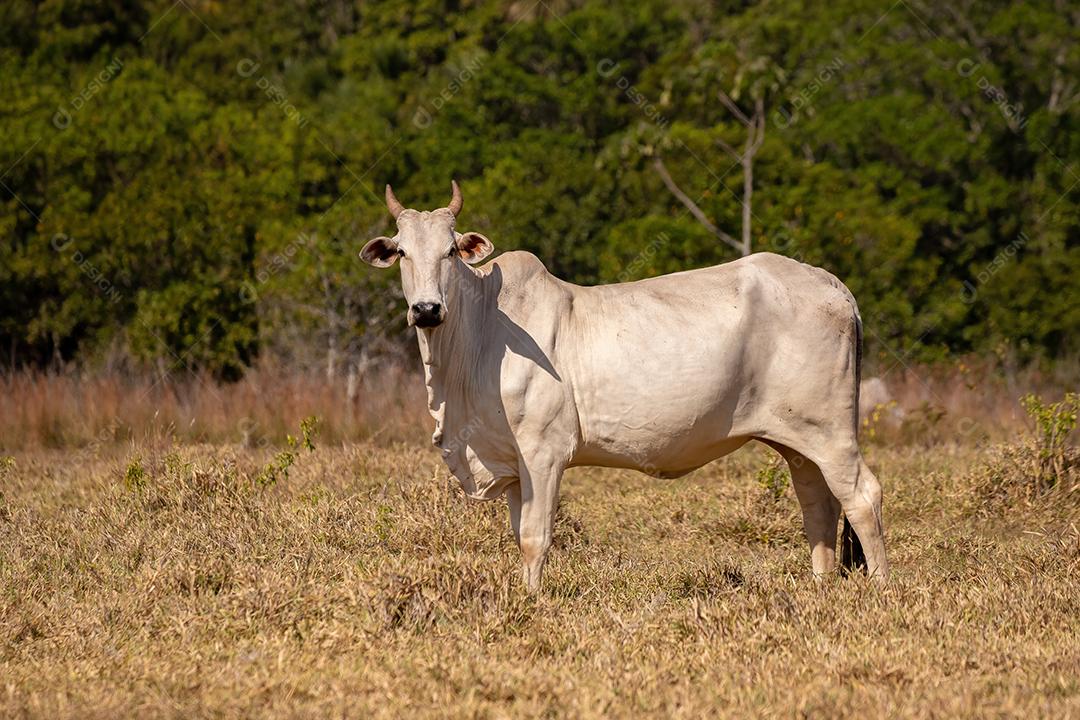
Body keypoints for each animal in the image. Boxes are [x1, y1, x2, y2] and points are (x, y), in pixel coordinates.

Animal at [360, 181, 888, 592]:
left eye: (450, 251)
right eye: (402, 251)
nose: (426, 309)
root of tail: (833, 285)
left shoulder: (544, 452)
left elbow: (535, 536)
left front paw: (531, 601)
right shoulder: (509, 459)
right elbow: (518, 532)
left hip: (833, 432)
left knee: (862, 495)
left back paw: (881, 589)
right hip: (798, 439)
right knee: (818, 503)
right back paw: (820, 586)